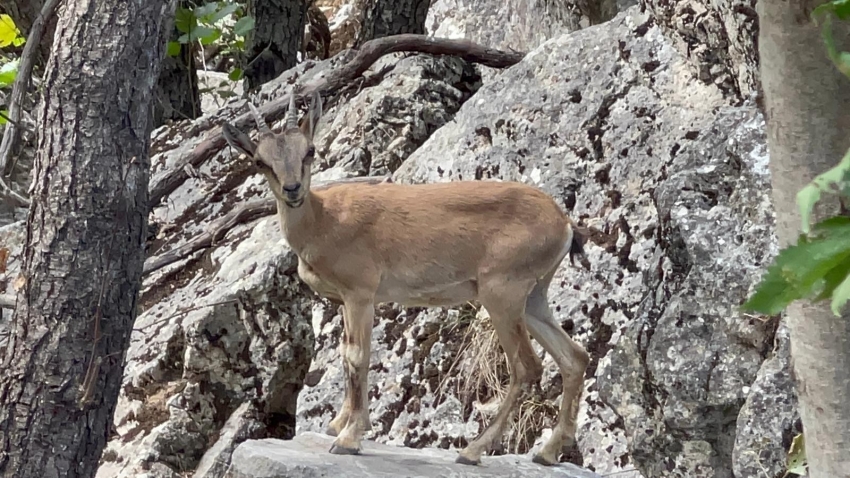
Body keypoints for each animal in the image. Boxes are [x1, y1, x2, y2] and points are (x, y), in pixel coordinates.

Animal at [220, 90, 588, 466]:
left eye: (310, 150)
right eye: (260, 161)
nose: (292, 189)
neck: (324, 221)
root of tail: (563, 223)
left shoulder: (361, 293)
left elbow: (357, 355)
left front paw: (349, 438)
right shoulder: (344, 300)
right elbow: (345, 353)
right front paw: (339, 424)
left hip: (501, 293)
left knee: (526, 366)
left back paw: (473, 450)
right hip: (533, 296)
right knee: (575, 357)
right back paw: (547, 452)